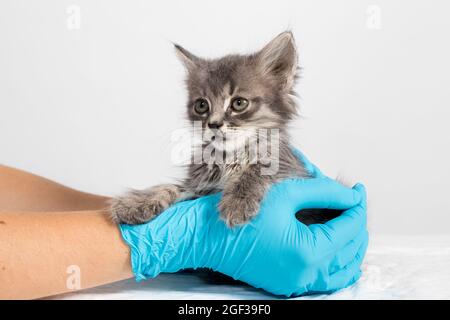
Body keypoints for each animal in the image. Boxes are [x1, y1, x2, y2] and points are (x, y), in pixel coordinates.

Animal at [110, 31, 312, 228]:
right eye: (201, 105)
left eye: (239, 103)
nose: (214, 124)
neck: (230, 158)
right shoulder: (199, 186)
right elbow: (173, 187)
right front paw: (137, 202)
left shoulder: (289, 168)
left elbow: (258, 169)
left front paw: (237, 201)